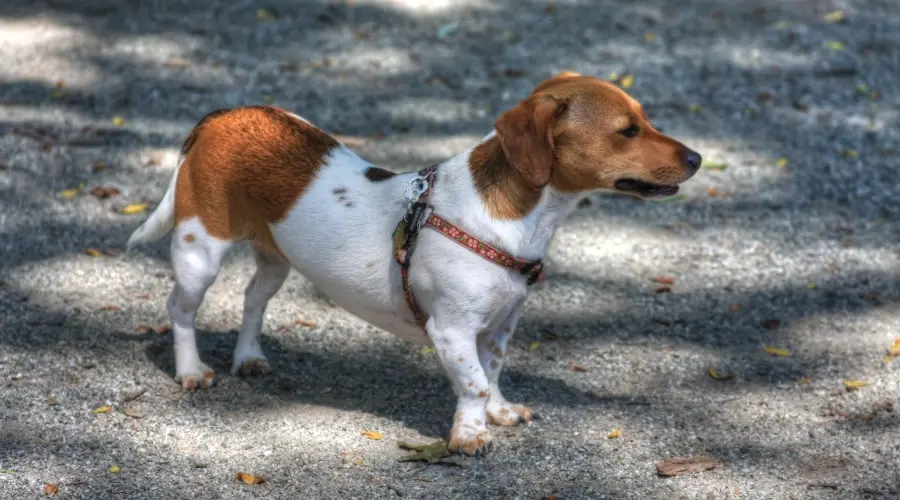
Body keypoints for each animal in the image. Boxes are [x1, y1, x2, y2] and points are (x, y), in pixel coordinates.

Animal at [126, 71, 704, 458]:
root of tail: (224, 116)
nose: (699, 158)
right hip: (199, 252)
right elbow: (472, 382)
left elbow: (492, 372)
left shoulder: (499, 326)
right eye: (627, 131)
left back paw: (248, 357)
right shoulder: (451, 330)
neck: (516, 217)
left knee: (251, 299)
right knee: (180, 309)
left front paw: (498, 414)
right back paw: (191, 370)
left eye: (645, 119)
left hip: (276, 259)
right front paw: (470, 436)